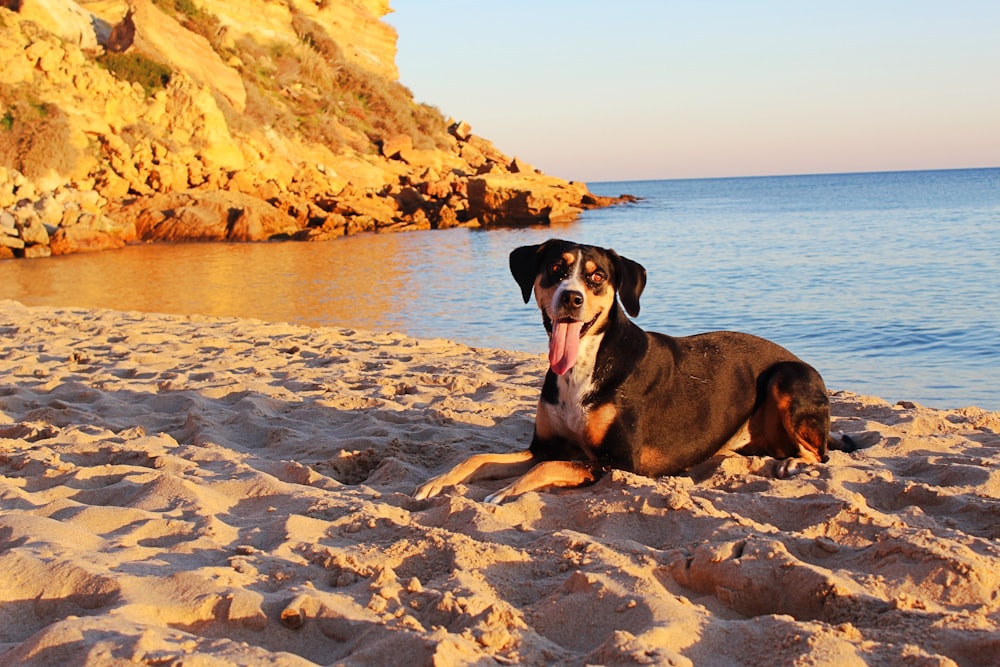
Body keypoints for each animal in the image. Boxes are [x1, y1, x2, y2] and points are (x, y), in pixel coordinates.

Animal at [414, 237, 844, 504]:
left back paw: (792, 461)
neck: (584, 366)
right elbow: (477, 458)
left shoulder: (618, 462)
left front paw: (506, 491)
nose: (571, 298)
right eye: (555, 269)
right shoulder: (543, 447)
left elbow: (552, 466)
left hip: (788, 376)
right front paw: (436, 481)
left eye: (597, 277)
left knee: (819, 454)